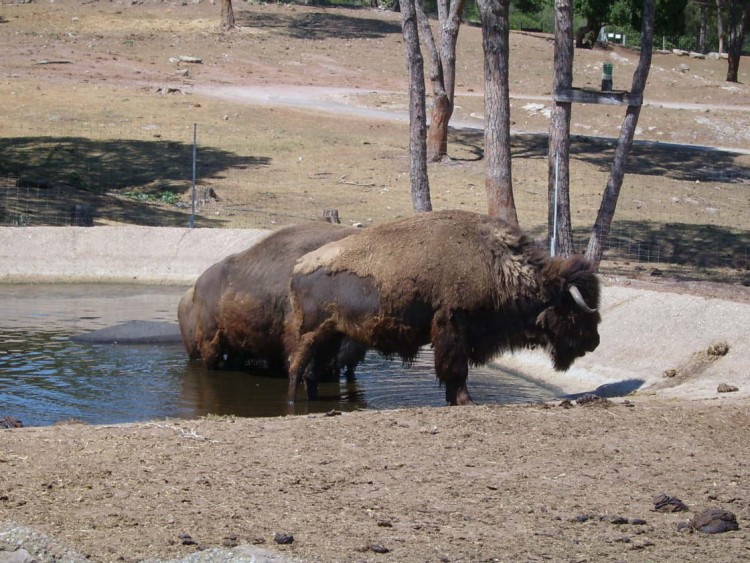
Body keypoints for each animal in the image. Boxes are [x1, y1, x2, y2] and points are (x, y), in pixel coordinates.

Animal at [284, 209, 604, 404]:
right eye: (575, 309)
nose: (595, 341)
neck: (498, 264)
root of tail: (298, 266)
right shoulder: (453, 327)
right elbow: (456, 370)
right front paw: (466, 401)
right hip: (311, 333)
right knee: (297, 366)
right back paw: (291, 401)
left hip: (332, 334)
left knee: (312, 370)